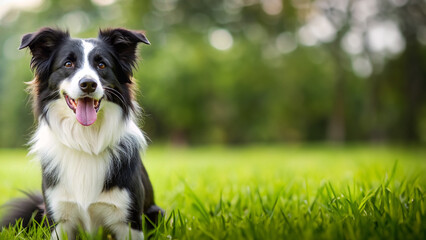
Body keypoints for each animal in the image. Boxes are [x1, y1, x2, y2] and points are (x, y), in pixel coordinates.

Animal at [0, 27, 163, 240]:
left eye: (102, 65)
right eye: (68, 64)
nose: (88, 84)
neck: (86, 140)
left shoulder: (128, 221)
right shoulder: (59, 219)